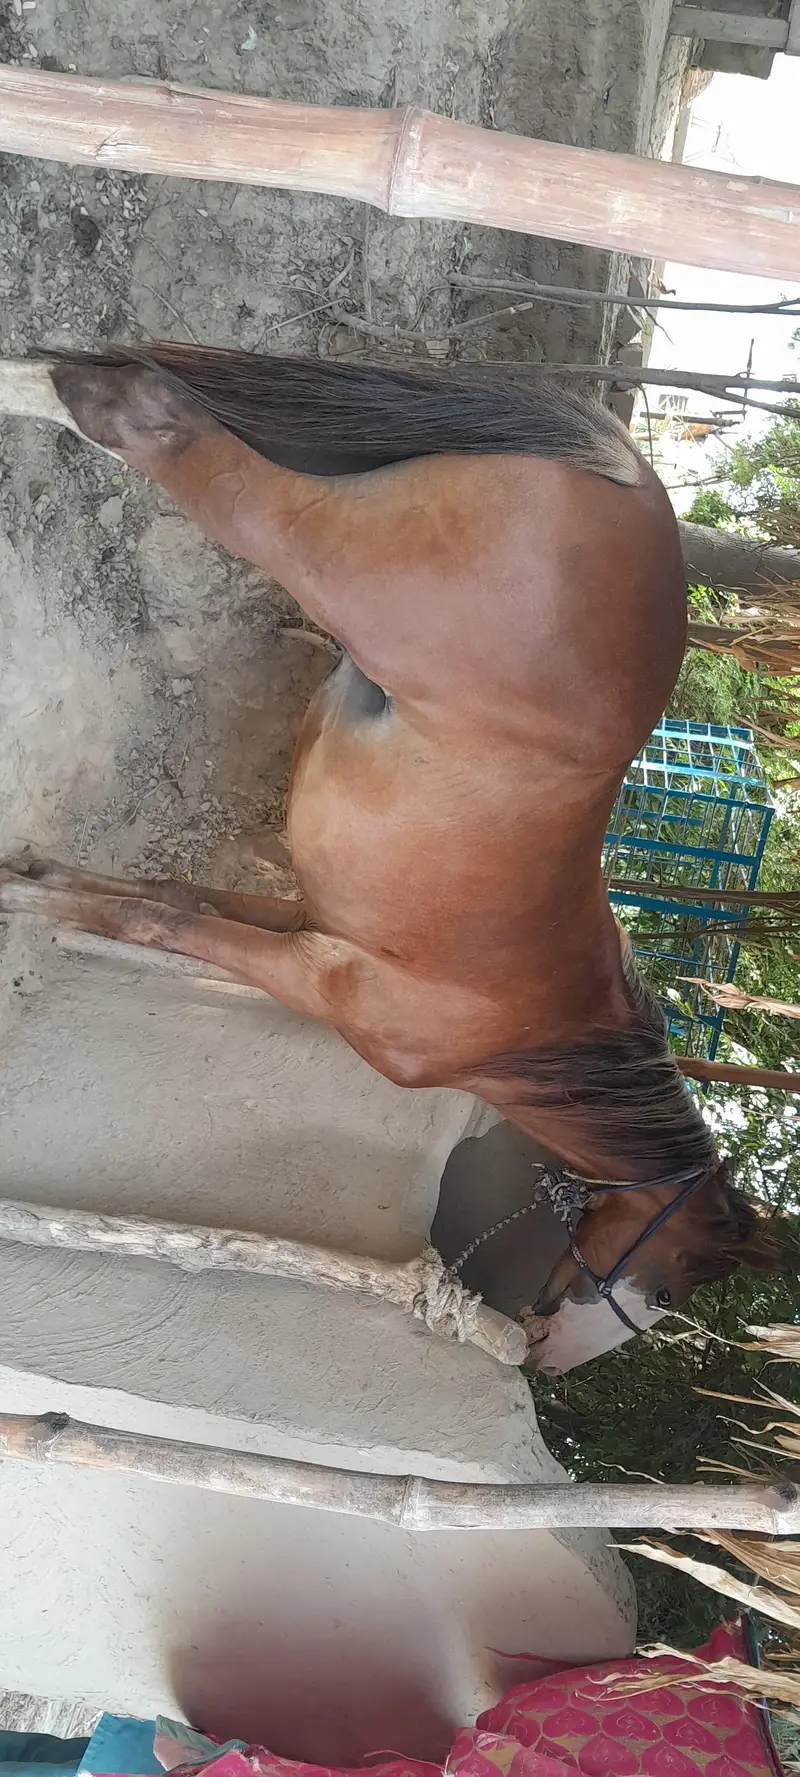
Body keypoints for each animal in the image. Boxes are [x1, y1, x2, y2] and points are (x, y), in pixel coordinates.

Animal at [0, 345, 789, 1372]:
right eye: (670, 1286)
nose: (544, 1354)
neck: (536, 1034)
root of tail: (637, 480)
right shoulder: (313, 976)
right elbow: (156, 919)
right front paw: (23, 907)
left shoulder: (299, 919)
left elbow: (153, 891)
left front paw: (33, 880)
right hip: (312, 548)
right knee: (170, 428)